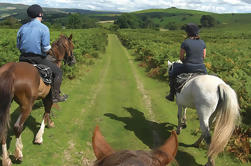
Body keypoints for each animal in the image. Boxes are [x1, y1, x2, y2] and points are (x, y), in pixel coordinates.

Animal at [0, 34, 74, 166]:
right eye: (72, 46)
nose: (72, 61)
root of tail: (10, 71)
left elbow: (47, 112)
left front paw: (50, 123)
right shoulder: (48, 97)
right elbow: (46, 112)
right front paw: (39, 136)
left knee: (3, 129)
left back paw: (6, 159)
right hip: (27, 106)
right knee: (17, 127)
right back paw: (18, 153)